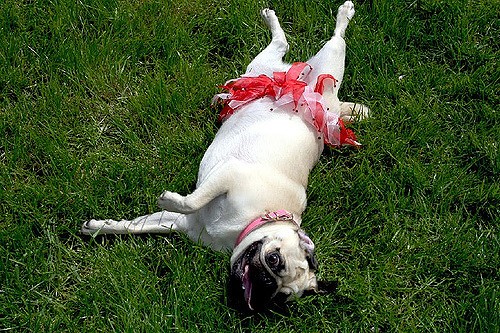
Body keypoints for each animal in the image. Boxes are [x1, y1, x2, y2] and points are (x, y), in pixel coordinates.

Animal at [82, 1, 370, 310]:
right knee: (322, 40)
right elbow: (191, 201)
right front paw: (167, 198)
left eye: (280, 299)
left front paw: (100, 227)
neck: (256, 219)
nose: (265, 285)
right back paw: (338, 13)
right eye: (274, 260)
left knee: (282, 44)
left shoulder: (178, 223)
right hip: (314, 65)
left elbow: (136, 226)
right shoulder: (228, 175)